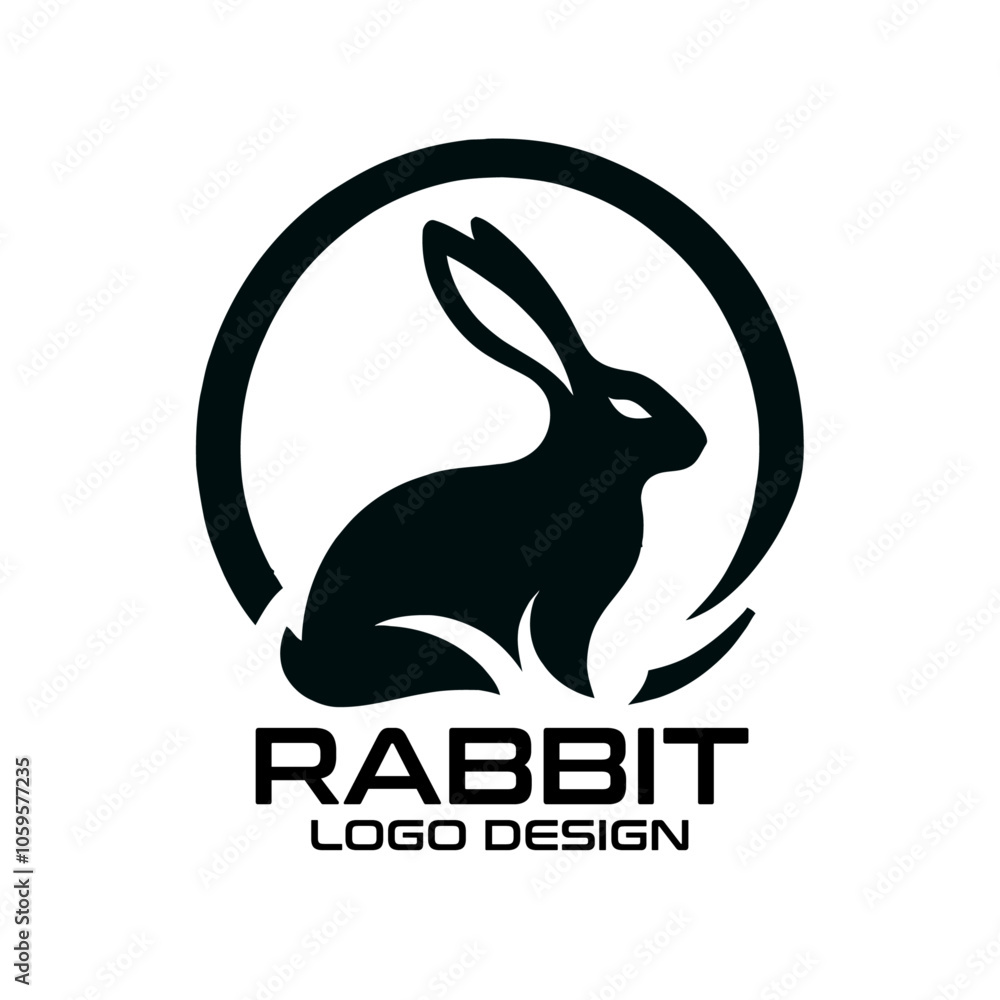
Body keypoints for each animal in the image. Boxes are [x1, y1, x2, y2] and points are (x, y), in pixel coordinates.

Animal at [280, 217, 707, 707]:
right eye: (633, 405)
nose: (699, 440)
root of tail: (312, 657)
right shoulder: (571, 590)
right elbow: (559, 645)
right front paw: (587, 693)